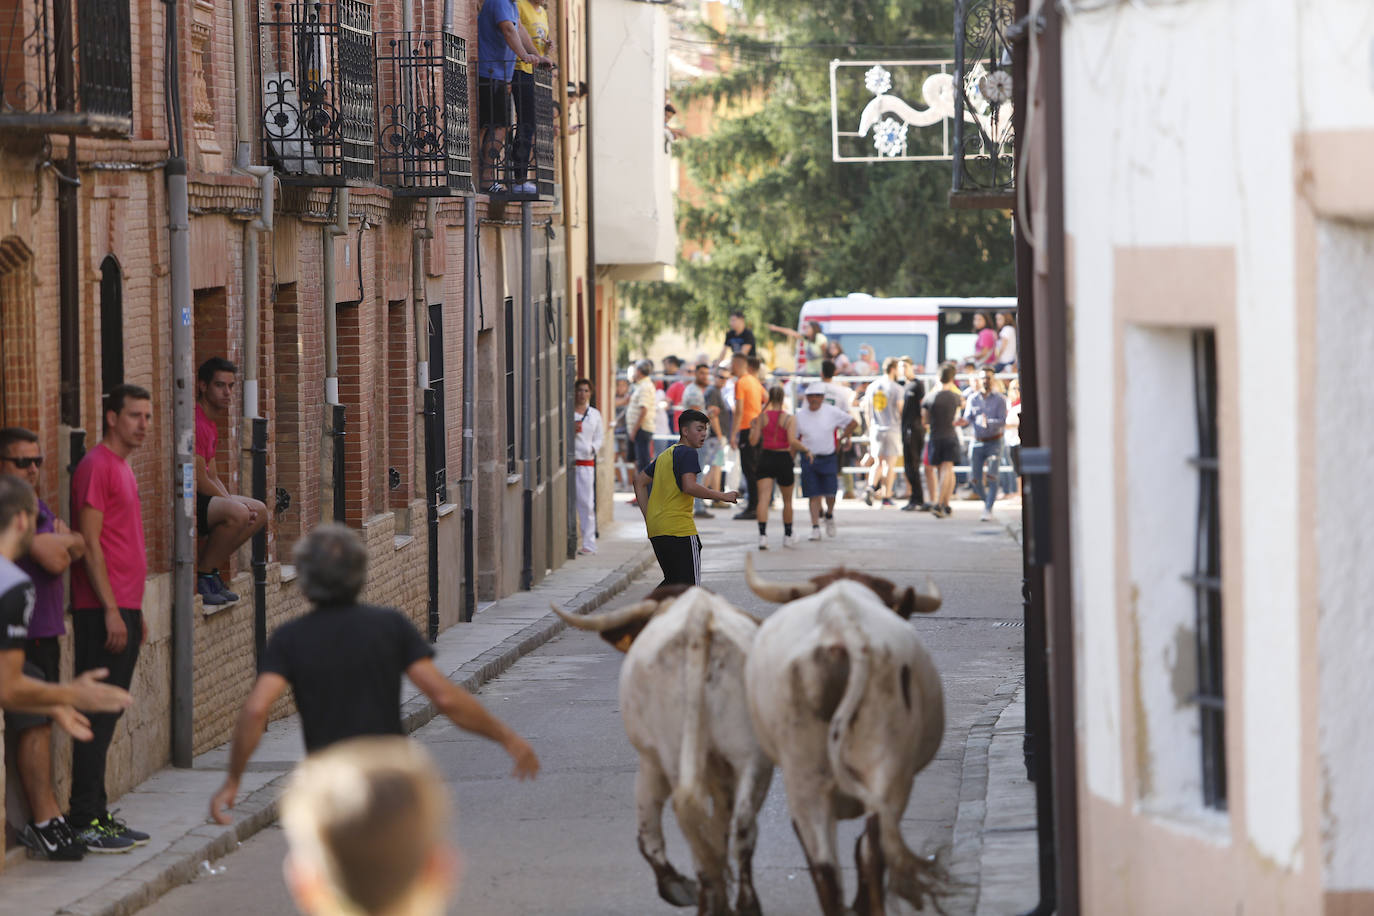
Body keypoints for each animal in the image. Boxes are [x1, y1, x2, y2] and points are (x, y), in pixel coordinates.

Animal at [555, 587, 774, 916]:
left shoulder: (652, 760)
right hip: (749, 755)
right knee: (737, 825)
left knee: (688, 823)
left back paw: (704, 895)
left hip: (671, 758)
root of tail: (698, 619)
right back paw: (737, 903)